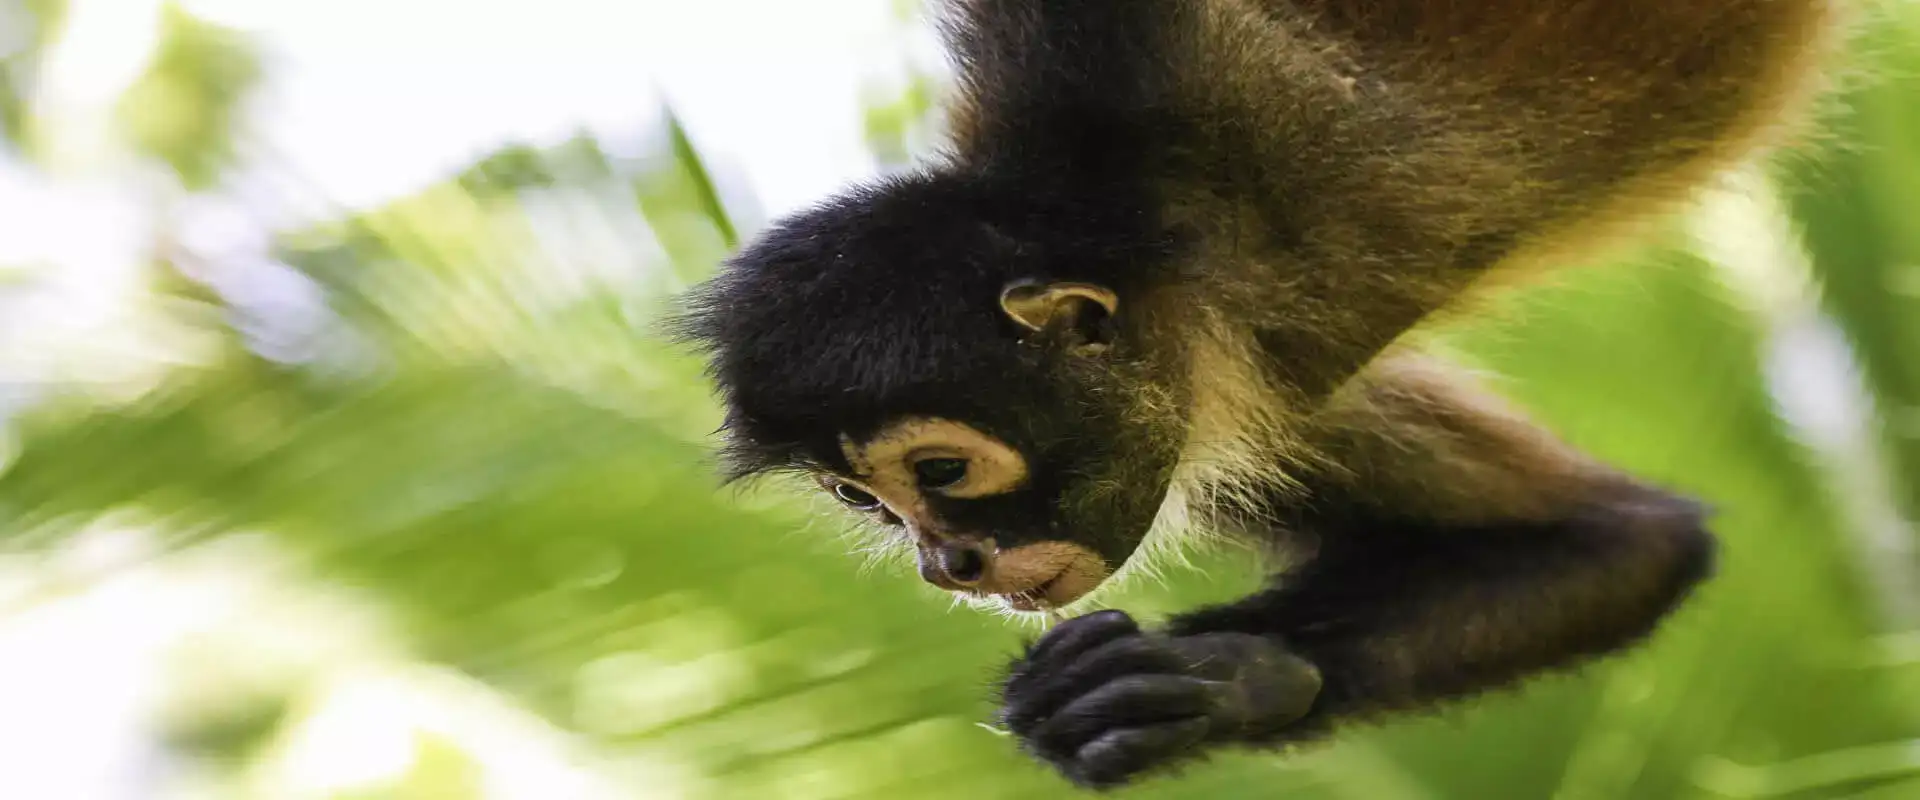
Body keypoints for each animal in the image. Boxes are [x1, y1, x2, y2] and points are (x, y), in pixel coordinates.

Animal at [672, 0, 1843, 790]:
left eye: (943, 469)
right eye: (866, 503)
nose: (945, 562)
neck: (1173, 230)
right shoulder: (1237, 383)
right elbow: (1625, 542)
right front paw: (1229, 677)